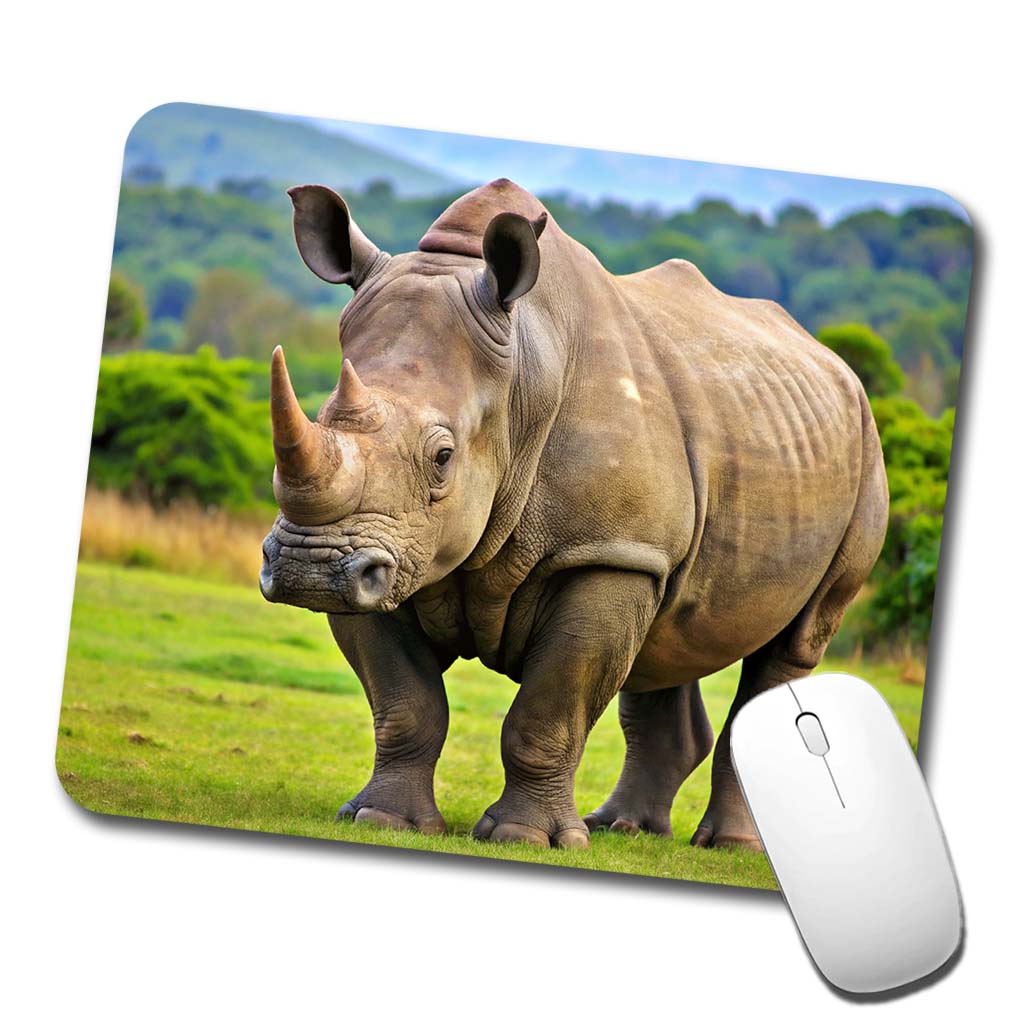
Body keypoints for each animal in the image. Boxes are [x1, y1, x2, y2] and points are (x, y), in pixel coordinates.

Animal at [259, 178, 888, 850]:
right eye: (321, 416)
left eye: (443, 457)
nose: (306, 567)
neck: (522, 373)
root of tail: (837, 366)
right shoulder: (390, 556)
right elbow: (406, 702)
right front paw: (383, 820)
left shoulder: (604, 554)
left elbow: (550, 708)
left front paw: (524, 838)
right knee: (665, 638)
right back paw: (622, 828)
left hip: (863, 457)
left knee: (792, 644)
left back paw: (724, 845)